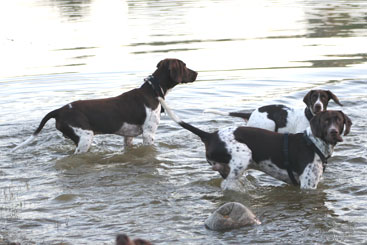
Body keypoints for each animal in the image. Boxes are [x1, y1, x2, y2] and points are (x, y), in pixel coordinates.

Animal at [160, 96, 352, 190]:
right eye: (325, 121)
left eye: (338, 120)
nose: (334, 132)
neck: (313, 143)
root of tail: (210, 135)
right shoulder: (307, 185)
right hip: (244, 156)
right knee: (227, 185)